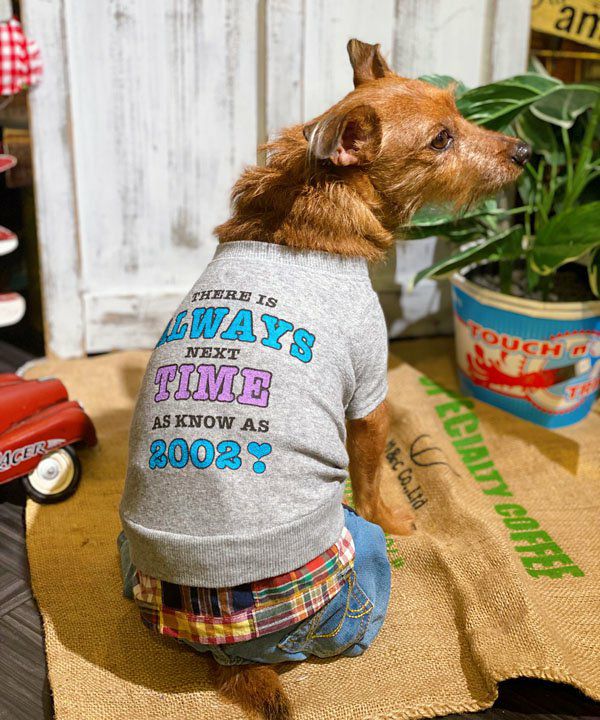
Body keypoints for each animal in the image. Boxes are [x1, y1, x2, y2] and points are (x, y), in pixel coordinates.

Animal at [120, 39, 529, 720]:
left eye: (458, 109)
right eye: (441, 140)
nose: (523, 151)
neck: (310, 209)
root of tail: (218, 644)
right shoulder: (370, 394)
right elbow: (370, 473)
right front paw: (397, 518)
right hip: (350, 577)